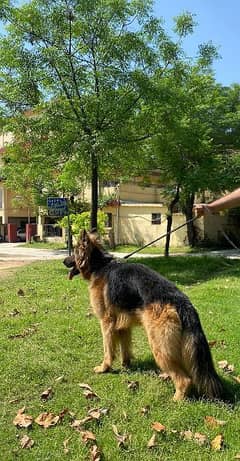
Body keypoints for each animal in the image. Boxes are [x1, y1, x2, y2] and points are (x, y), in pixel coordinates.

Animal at [62, 230, 222, 398]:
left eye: (74, 251)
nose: (63, 261)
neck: (100, 265)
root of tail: (182, 302)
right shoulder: (122, 325)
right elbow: (125, 348)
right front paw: (126, 366)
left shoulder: (106, 323)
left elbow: (108, 349)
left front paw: (104, 368)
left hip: (158, 345)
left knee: (185, 379)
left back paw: (177, 398)